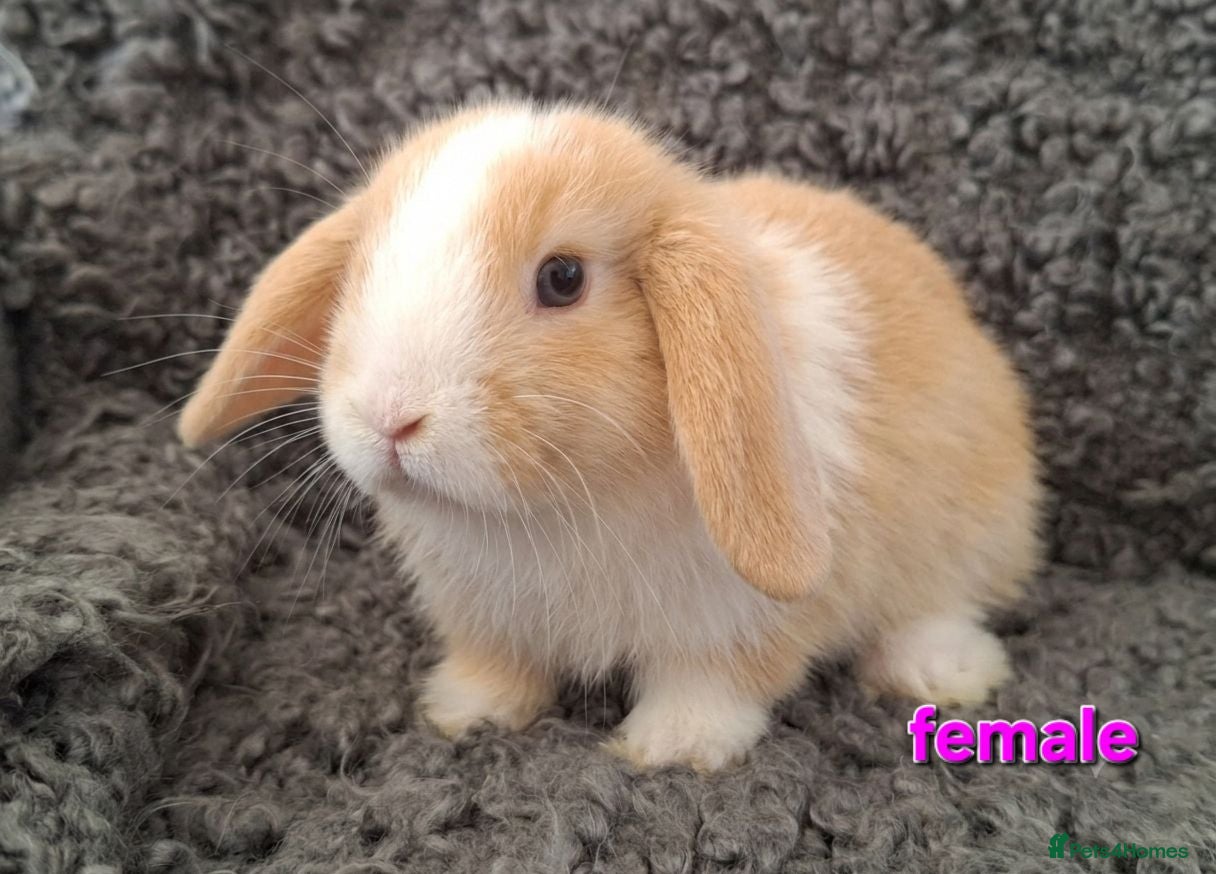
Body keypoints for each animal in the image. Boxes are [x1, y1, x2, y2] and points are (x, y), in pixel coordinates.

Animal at [178, 101, 1041, 771]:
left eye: (563, 278)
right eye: (361, 271)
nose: (391, 416)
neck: (556, 507)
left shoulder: (734, 619)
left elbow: (714, 682)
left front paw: (673, 750)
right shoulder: (486, 616)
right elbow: (496, 669)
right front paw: (463, 714)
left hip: (967, 526)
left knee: (943, 598)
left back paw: (942, 674)